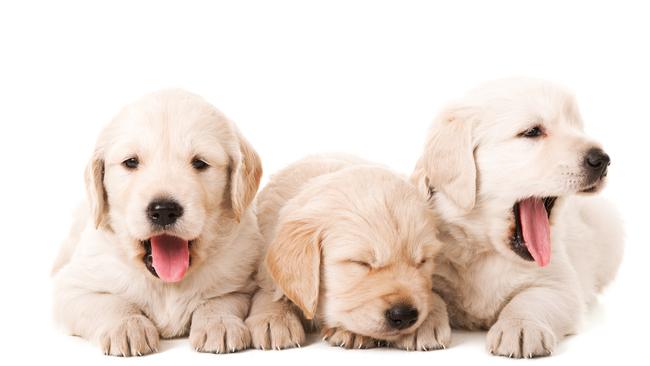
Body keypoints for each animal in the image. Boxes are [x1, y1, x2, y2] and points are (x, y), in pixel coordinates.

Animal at [52, 90, 262, 356]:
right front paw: (127, 326)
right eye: (131, 162)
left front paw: (219, 323)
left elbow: (220, 299)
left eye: (200, 163)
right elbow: (108, 302)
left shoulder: (241, 281)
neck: (166, 284)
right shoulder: (72, 288)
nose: (164, 211)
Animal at [243, 156, 450, 350]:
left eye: (423, 261)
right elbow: (270, 290)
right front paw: (273, 318)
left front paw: (427, 322)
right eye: (361, 263)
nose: (405, 315)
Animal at [410, 79, 624, 358]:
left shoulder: (559, 283)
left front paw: (520, 327)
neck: (485, 250)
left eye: (577, 127)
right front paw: (420, 323)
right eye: (532, 132)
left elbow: (533, 299)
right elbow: (429, 292)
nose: (602, 159)